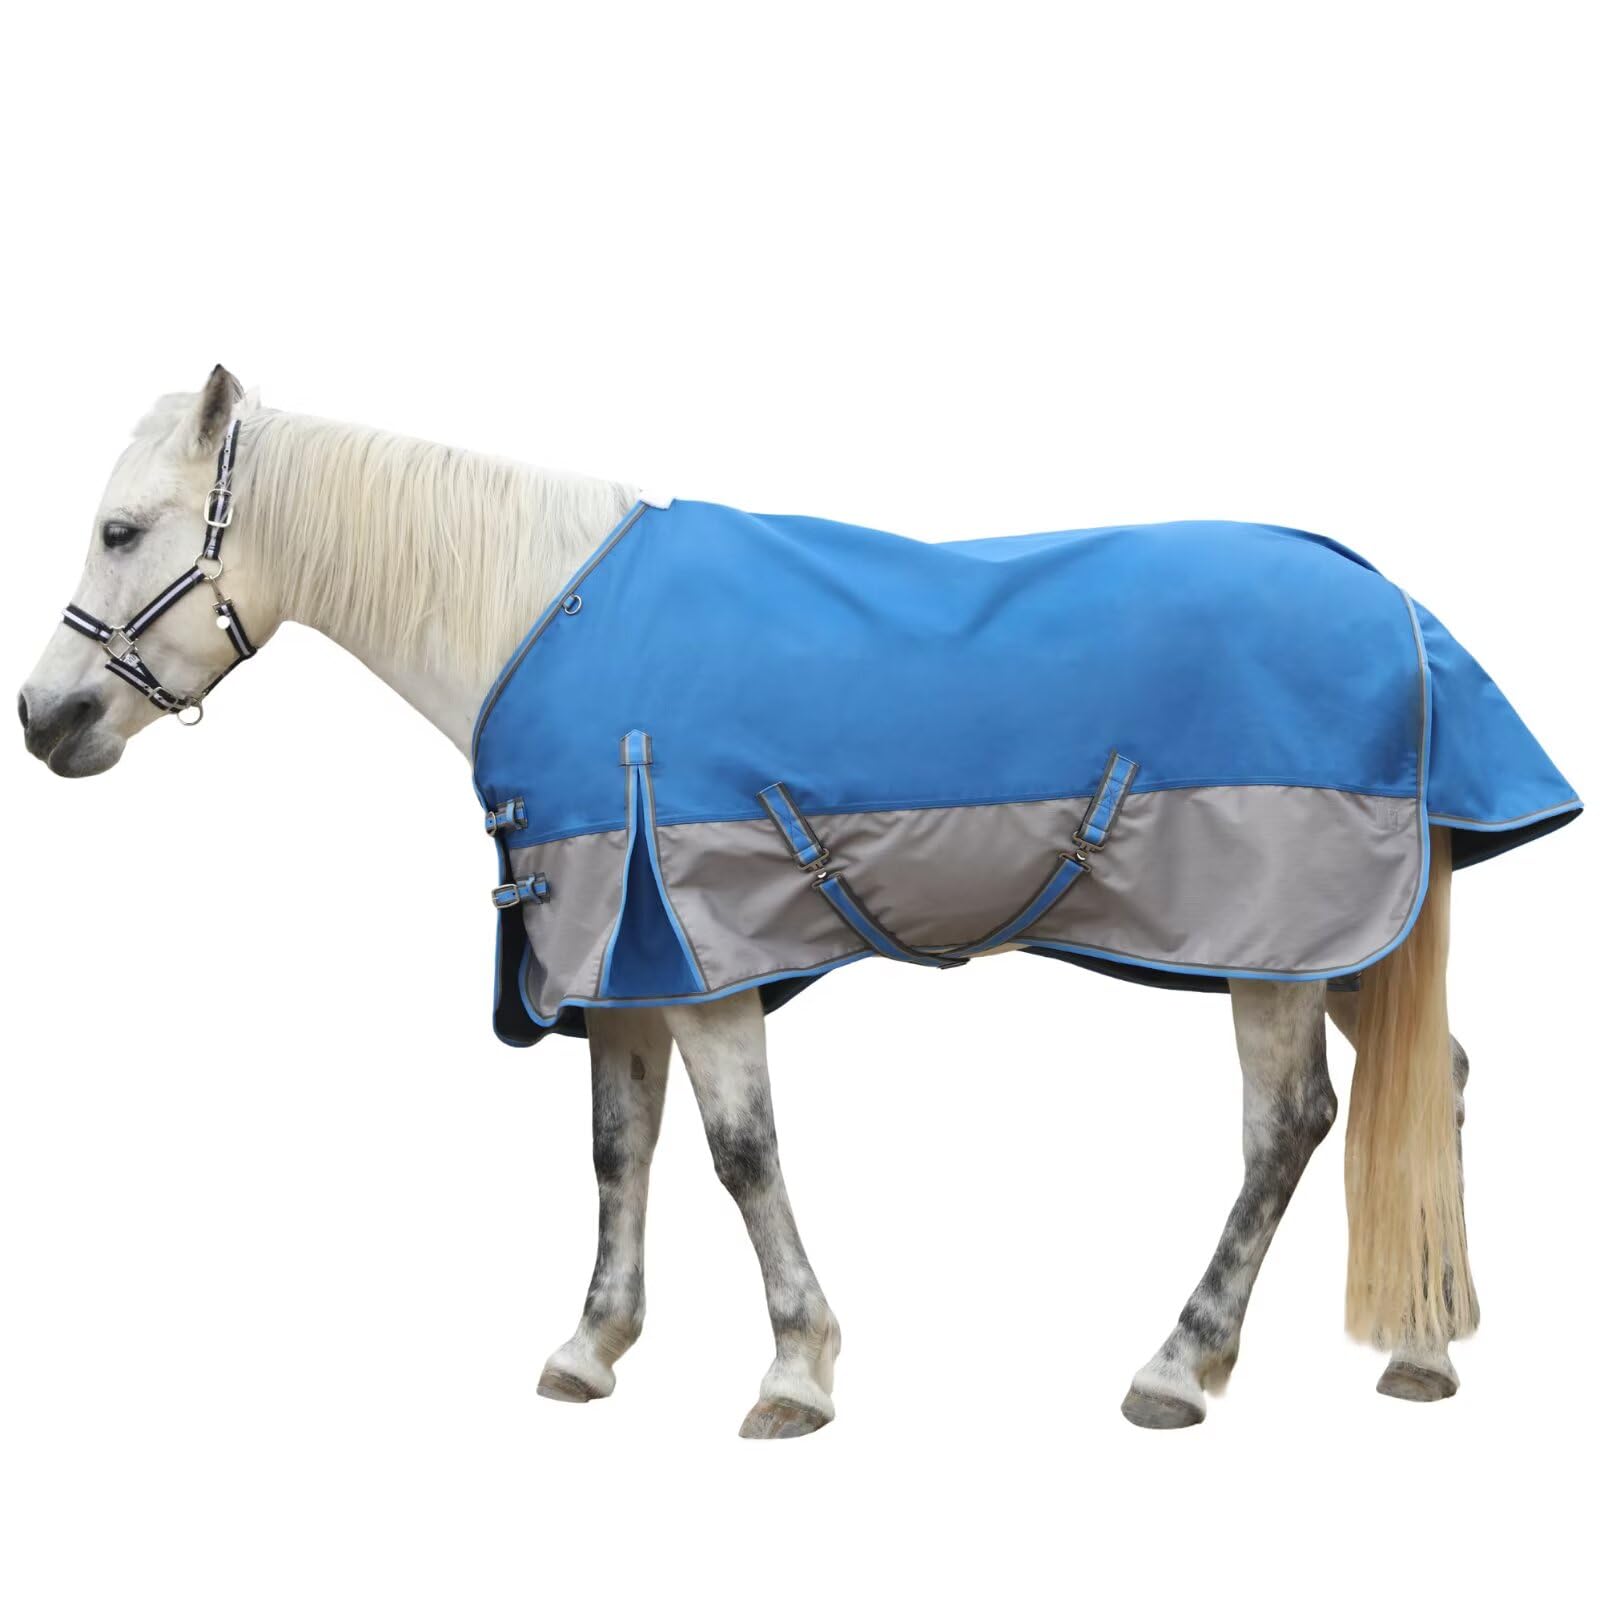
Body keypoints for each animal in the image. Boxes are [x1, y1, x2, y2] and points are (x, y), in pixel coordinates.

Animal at [19, 367, 1580, 1437]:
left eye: (122, 529)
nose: (43, 718)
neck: (541, 616)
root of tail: (1400, 610)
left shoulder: (697, 952)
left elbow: (739, 1155)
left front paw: (795, 1369)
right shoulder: (621, 959)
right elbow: (619, 1153)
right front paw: (591, 1349)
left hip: (1278, 945)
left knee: (1289, 1125)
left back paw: (1179, 1365)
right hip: (1354, 939)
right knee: (1431, 1079)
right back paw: (1424, 1346)